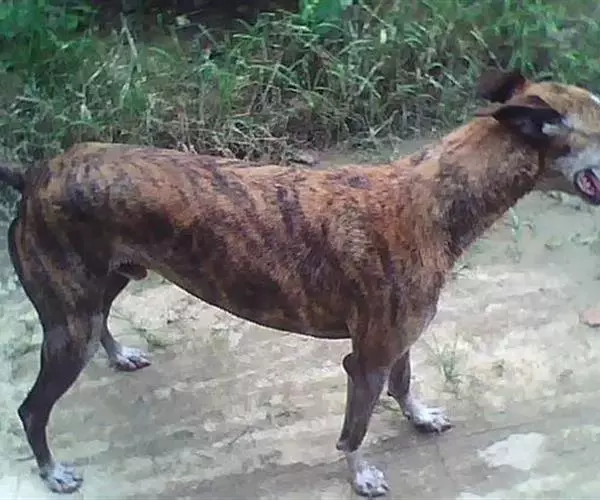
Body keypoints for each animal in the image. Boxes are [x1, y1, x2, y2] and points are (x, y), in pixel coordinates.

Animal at [2, 68, 600, 497]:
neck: (432, 198)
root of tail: (34, 174)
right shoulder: (365, 361)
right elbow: (354, 431)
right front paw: (361, 476)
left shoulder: (398, 342)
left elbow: (405, 384)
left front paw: (420, 417)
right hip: (68, 327)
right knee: (32, 410)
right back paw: (52, 471)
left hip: (103, 286)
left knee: (100, 321)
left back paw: (120, 353)